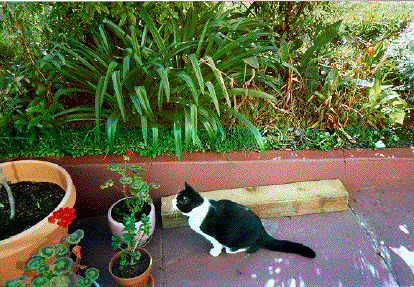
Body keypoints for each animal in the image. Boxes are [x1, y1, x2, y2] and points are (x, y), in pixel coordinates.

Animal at [173, 183, 316, 260]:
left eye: (178, 201)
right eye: (175, 197)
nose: (172, 201)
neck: (199, 209)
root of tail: (263, 233)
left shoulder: (213, 236)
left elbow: (217, 244)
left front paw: (215, 252)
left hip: (240, 241)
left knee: (251, 248)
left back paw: (232, 250)